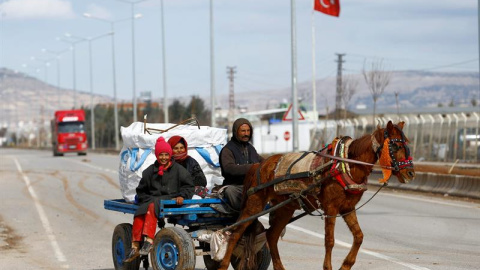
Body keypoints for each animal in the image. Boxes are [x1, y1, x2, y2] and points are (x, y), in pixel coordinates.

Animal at [218, 121, 416, 270]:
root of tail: (258, 165)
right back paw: (223, 264)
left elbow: (359, 237)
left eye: (407, 142)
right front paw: (328, 267)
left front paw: (346, 265)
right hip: (254, 204)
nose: (410, 173)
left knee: (271, 236)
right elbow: (329, 241)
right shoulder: (331, 208)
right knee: (235, 233)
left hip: (285, 208)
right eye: (396, 145)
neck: (346, 164)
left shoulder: (348, 208)